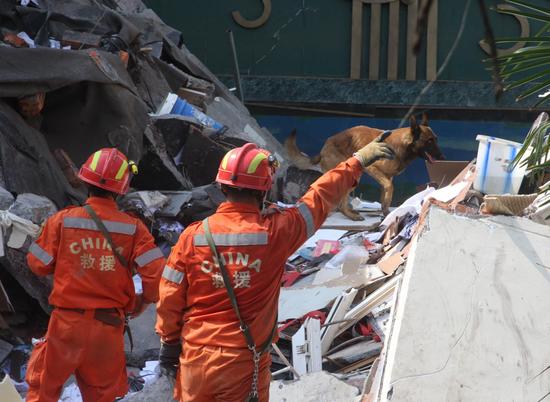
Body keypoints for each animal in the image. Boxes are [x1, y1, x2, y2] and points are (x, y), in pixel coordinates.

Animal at [286, 113, 446, 220]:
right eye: (429, 141)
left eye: (436, 139)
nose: (442, 158)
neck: (402, 145)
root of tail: (324, 148)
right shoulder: (373, 169)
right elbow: (389, 188)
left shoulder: (387, 177)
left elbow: (385, 198)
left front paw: (386, 214)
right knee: (340, 204)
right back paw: (352, 216)